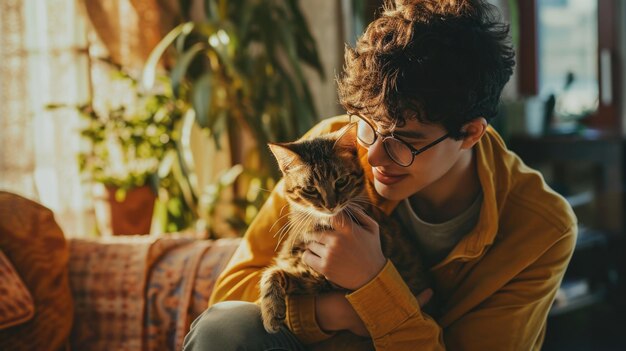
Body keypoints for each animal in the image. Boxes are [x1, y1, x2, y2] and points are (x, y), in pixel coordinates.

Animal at [260, 124, 428, 336]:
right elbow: (271, 273)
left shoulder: (321, 280)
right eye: (310, 189)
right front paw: (272, 311)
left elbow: (274, 272)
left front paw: (271, 312)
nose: (331, 205)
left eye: (341, 181)